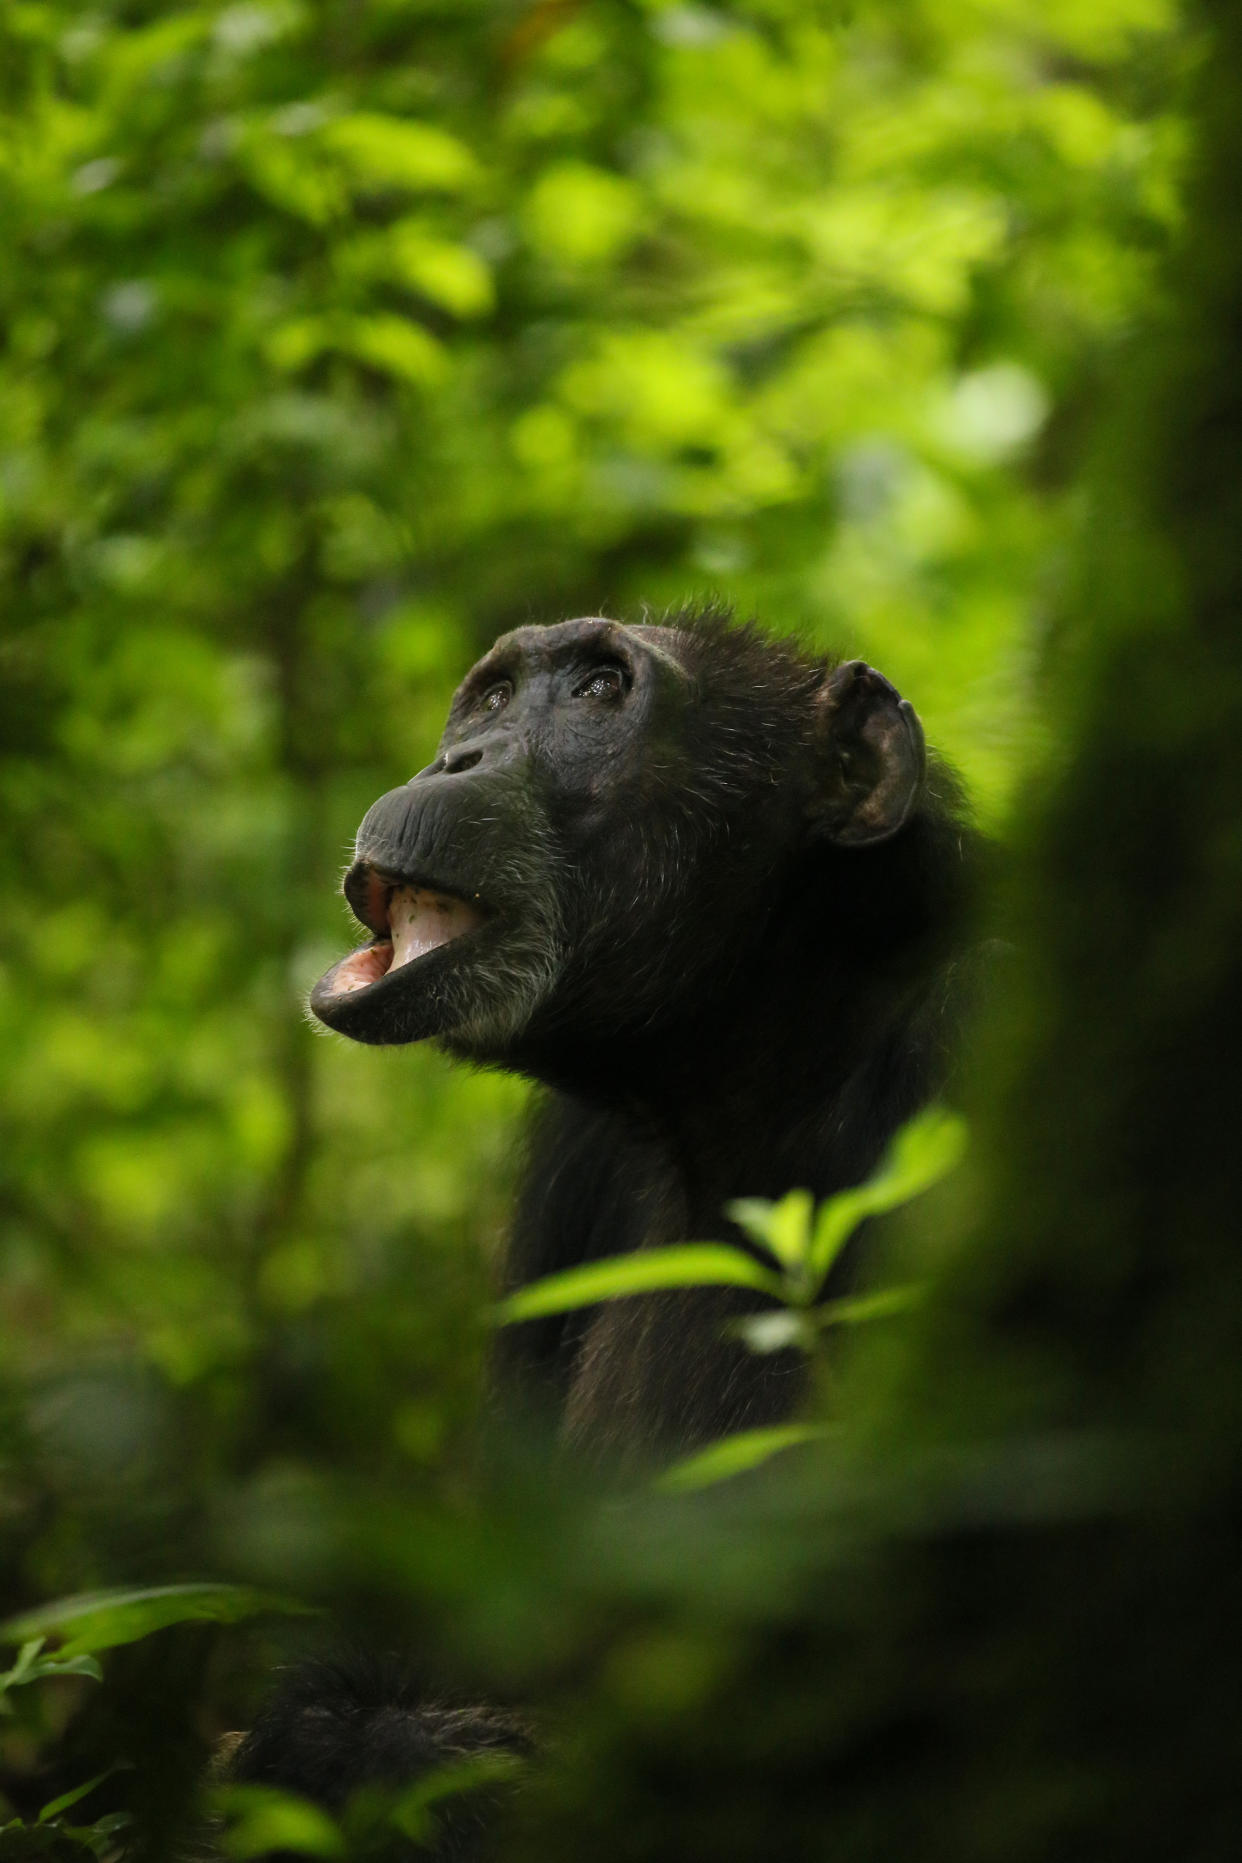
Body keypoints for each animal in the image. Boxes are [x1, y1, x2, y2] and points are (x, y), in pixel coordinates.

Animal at [226, 607, 983, 1848]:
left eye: (596, 690)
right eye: (492, 698)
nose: (459, 759)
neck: (754, 1073)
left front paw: (376, 1752)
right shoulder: (574, 1165)